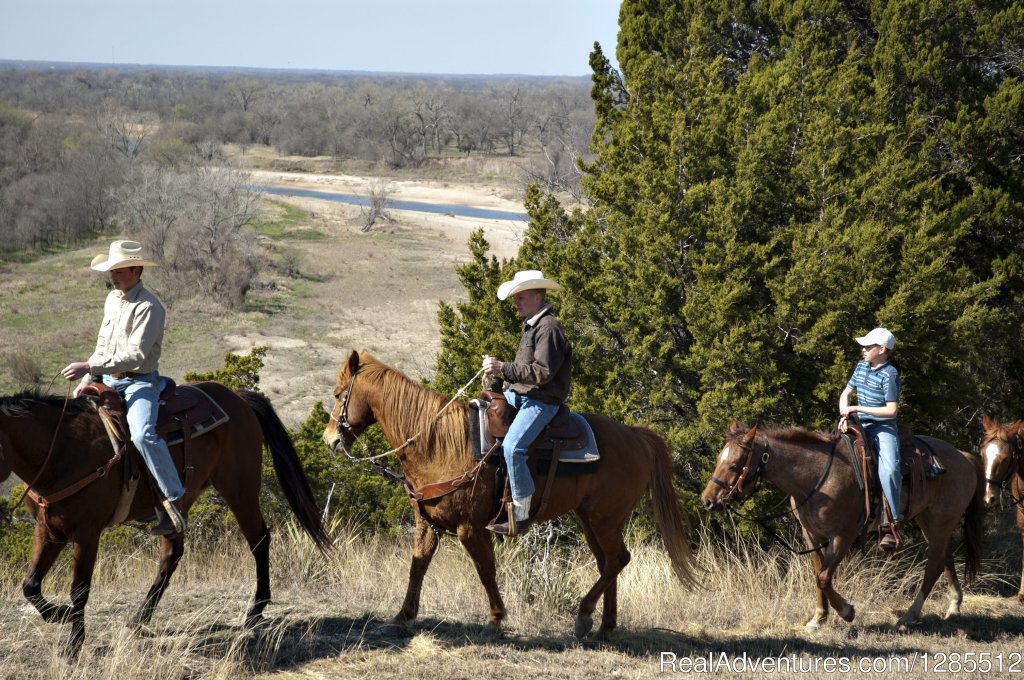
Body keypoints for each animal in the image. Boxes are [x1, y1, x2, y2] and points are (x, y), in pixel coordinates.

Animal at [0, 383, 327, 655]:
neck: (63, 452)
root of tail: (238, 398)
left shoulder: (86, 533)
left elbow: (79, 590)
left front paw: (73, 644)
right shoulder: (48, 529)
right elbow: (30, 585)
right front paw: (60, 615)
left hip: (240, 490)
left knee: (259, 540)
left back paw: (256, 611)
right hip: (180, 501)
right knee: (172, 554)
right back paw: (140, 618)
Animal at [323, 350, 700, 639]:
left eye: (340, 394)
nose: (330, 440)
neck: (438, 444)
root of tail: (636, 436)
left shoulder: (470, 527)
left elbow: (485, 570)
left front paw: (494, 619)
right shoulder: (428, 524)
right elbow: (418, 567)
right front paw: (402, 616)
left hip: (604, 519)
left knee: (618, 559)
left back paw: (583, 616)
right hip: (593, 520)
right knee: (608, 562)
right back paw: (605, 626)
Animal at [700, 421, 978, 630]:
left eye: (734, 465)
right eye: (718, 460)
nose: (708, 501)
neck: (816, 478)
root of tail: (963, 457)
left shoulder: (843, 534)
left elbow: (824, 576)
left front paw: (846, 611)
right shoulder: (812, 535)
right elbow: (818, 573)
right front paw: (818, 618)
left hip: (941, 521)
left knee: (933, 566)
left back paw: (908, 616)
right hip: (930, 521)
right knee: (945, 559)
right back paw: (954, 606)